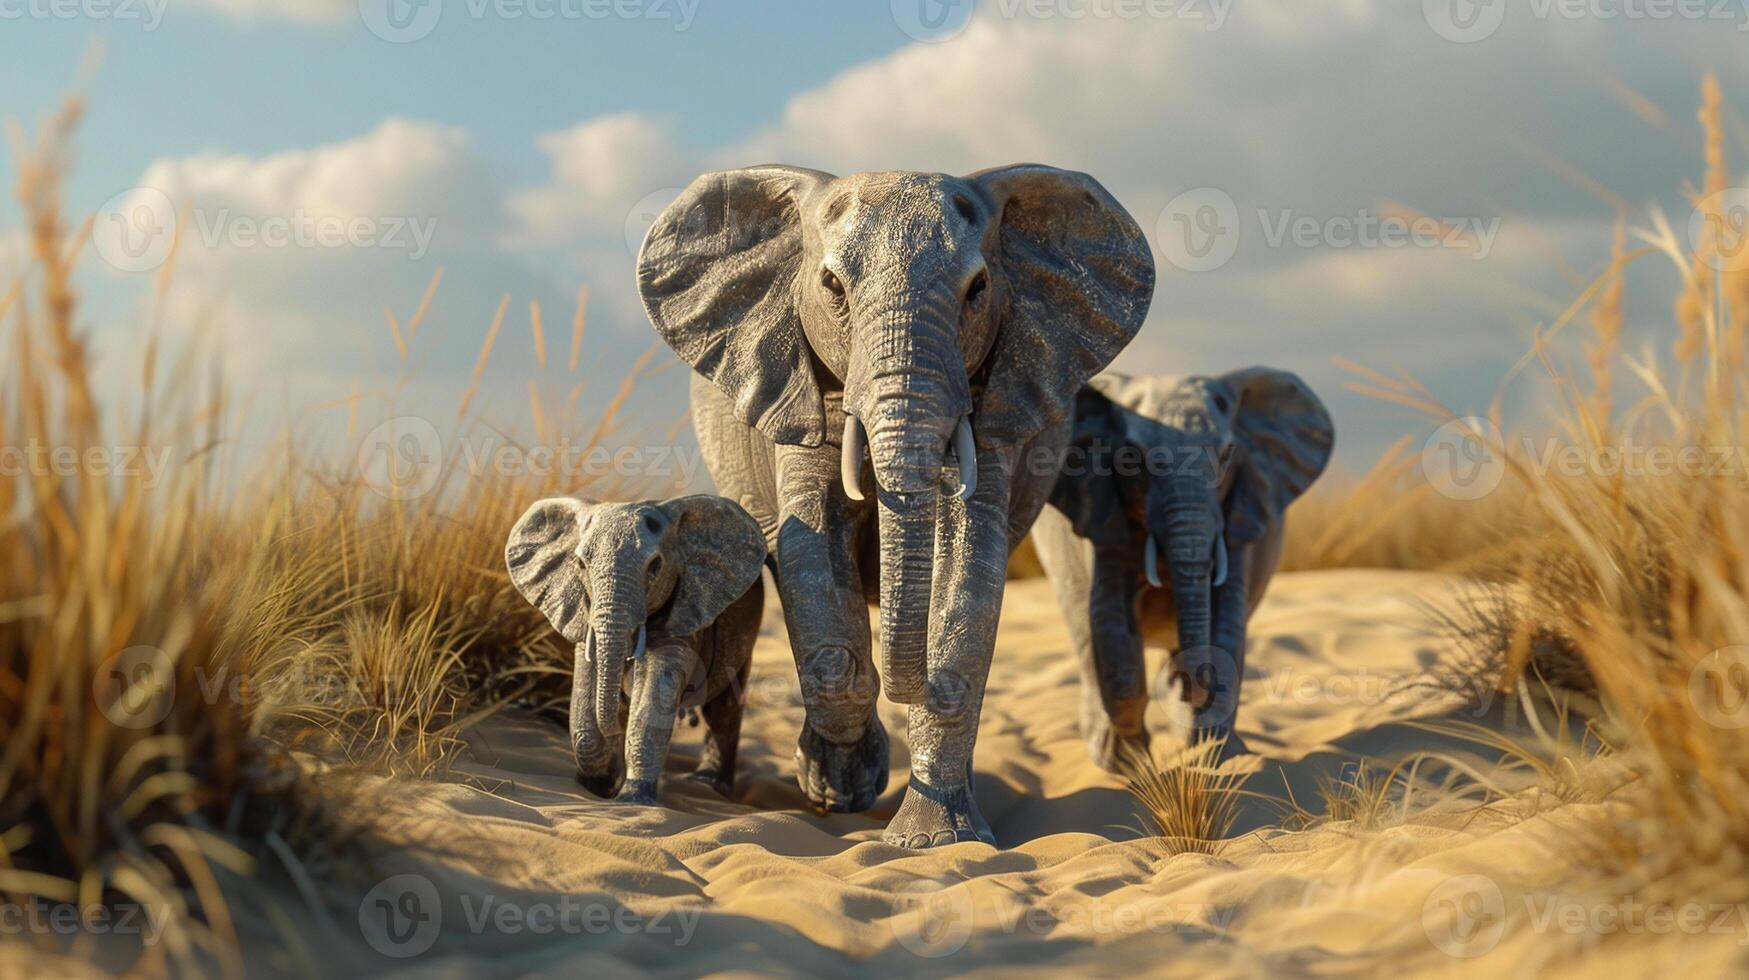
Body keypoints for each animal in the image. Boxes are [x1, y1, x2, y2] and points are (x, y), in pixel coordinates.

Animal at [503, 497, 769, 805]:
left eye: (655, 565)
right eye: (580, 564)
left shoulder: (683, 618)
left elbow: (649, 709)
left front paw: (632, 801)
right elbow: (586, 707)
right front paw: (596, 787)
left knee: (723, 705)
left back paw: (708, 785)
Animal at [636, 164, 1154, 847]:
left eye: (978, 289)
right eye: (831, 285)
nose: (912, 684)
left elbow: (970, 565)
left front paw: (938, 841)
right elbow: (811, 543)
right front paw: (844, 783)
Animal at [1028, 371, 1329, 770]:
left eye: (1227, 454)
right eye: (1131, 458)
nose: (1188, 684)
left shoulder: (1241, 510)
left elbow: (1227, 624)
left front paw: (1217, 757)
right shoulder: (1101, 506)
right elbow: (1112, 625)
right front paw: (1128, 766)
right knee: (1083, 629)